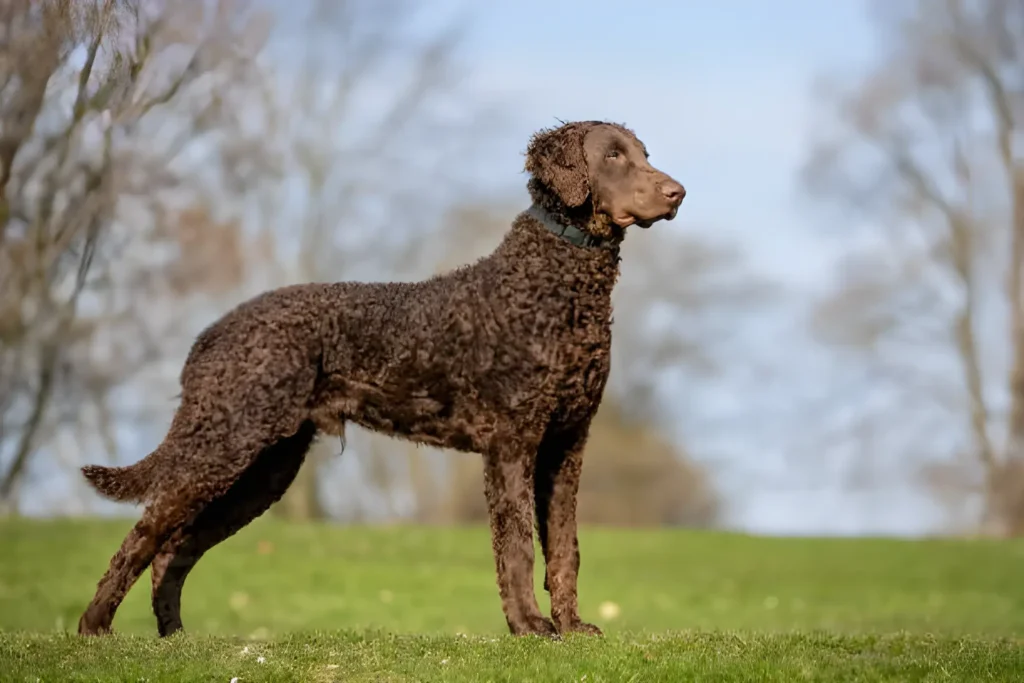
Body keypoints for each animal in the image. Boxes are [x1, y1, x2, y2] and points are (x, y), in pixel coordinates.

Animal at [79, 118, 684, 643]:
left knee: (172, 548)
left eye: (645, 153)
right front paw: (530, 627)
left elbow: (564, 547)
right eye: (613, 156)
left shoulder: (566, 444)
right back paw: (95, 627)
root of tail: (211, 334)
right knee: (145, 534)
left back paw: (174, 636)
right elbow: (516, 544)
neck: (558, 286)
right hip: (225, 444)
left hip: (263, 469)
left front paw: (572, 627)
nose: (677, 192)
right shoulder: (512, 442)